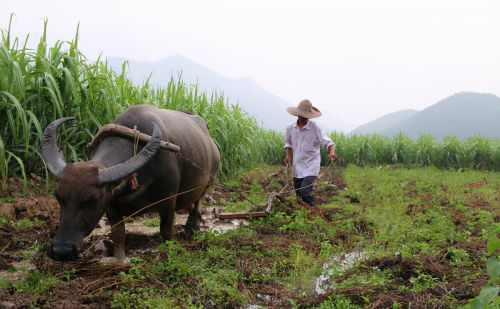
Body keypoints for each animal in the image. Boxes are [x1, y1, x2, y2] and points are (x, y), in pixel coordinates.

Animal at [43, 104, 221, 260]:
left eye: (93, 199)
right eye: (58, 196)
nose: (62, 250)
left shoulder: (169, 201)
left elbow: (166, 232)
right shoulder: (111, 206)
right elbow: (118, 235)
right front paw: (119, 259)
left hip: (207, 181)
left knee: (197, 201)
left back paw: (193, 227)